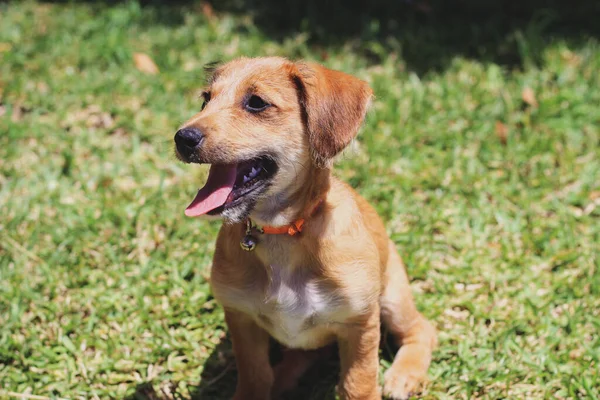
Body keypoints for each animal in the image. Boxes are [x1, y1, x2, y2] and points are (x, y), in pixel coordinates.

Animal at [173, 57, 436, 400]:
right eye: (206, 99)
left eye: (256, 103)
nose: (182, 138)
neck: (283, 233)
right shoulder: (242, 320)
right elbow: (255, 376)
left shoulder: (360, 323)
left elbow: (359, 383)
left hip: (393, 296)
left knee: (422, 329)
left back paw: (404, 374)